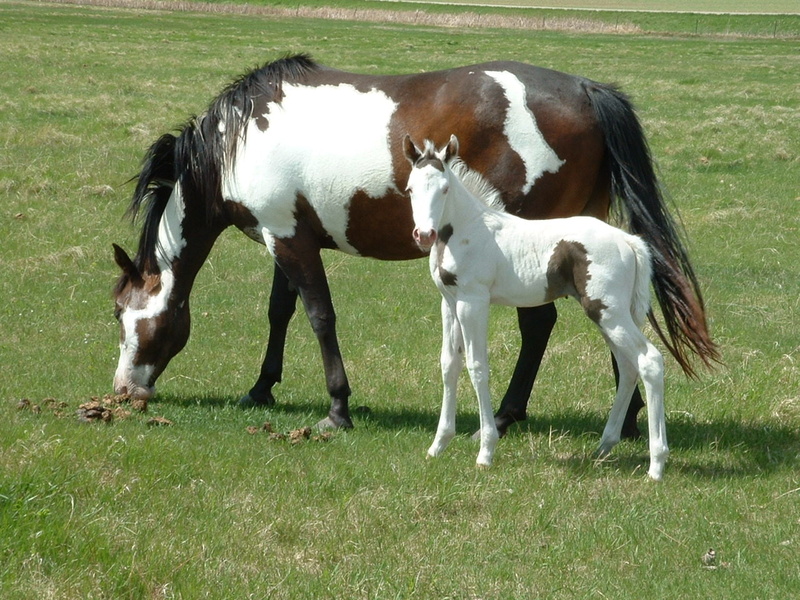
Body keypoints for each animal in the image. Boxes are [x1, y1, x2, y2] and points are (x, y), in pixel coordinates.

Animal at [112, 54, 717, 434]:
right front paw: (261, 389)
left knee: (539, 326)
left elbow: (319, 316)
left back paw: (506, 415)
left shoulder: (289, 242)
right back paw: (628, 418)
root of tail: (587, 91)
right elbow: (279, 312)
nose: (123, 391)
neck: (239, 140)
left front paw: (337, 408)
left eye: (123, 316)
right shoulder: (285, 237)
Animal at [404, 135, 669, 480]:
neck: (467, 230)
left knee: (649, 361)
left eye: (445, 188)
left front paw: (486, 451)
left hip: (609, 312)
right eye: (410, 188)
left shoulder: (473, 302)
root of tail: (629, 242)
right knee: (628, 366)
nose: (424, 234)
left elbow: (477, 367)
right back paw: (604, 446)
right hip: (609, 315)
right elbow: (449, 365)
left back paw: (656, 465)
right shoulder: (449, 303)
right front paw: (438, 445)